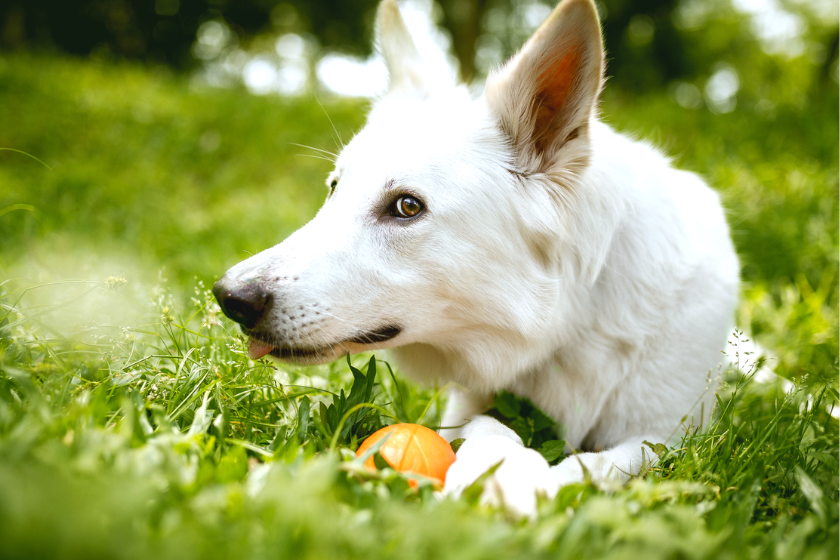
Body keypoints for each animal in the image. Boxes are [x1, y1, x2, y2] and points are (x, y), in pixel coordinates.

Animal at [213, 0, 740, 516]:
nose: (229, 297)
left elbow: (608, 461)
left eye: (407, 207)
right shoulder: (465, 408)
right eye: (334, 189)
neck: (569, 328)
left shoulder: (670, 435)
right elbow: (491, 428)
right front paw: (503, 470)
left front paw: (533, 483)